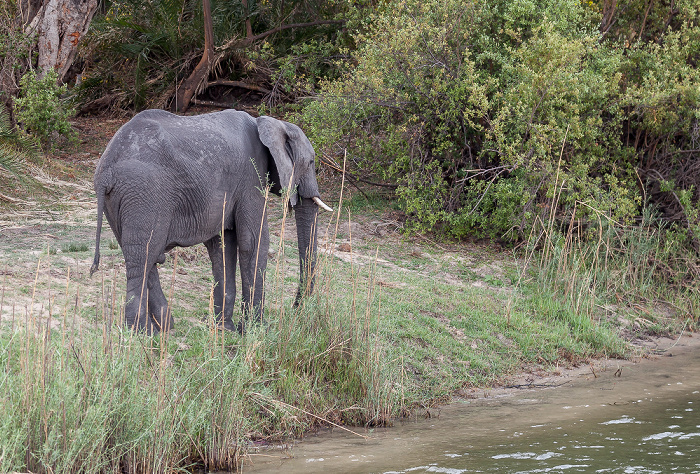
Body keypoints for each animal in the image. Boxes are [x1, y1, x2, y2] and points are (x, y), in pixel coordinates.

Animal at [90, 109, 334, 336]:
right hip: (145, 194)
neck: (269, 123)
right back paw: (142, 332)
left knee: (140, 255)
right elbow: (253, 241)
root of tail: (107, 169)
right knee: (143, 256)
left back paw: (163, 328)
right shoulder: (251, 176)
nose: (297, 308)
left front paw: (224, 329)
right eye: (311, 162)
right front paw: (256, 331)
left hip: (121, 201)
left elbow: (222, 246)